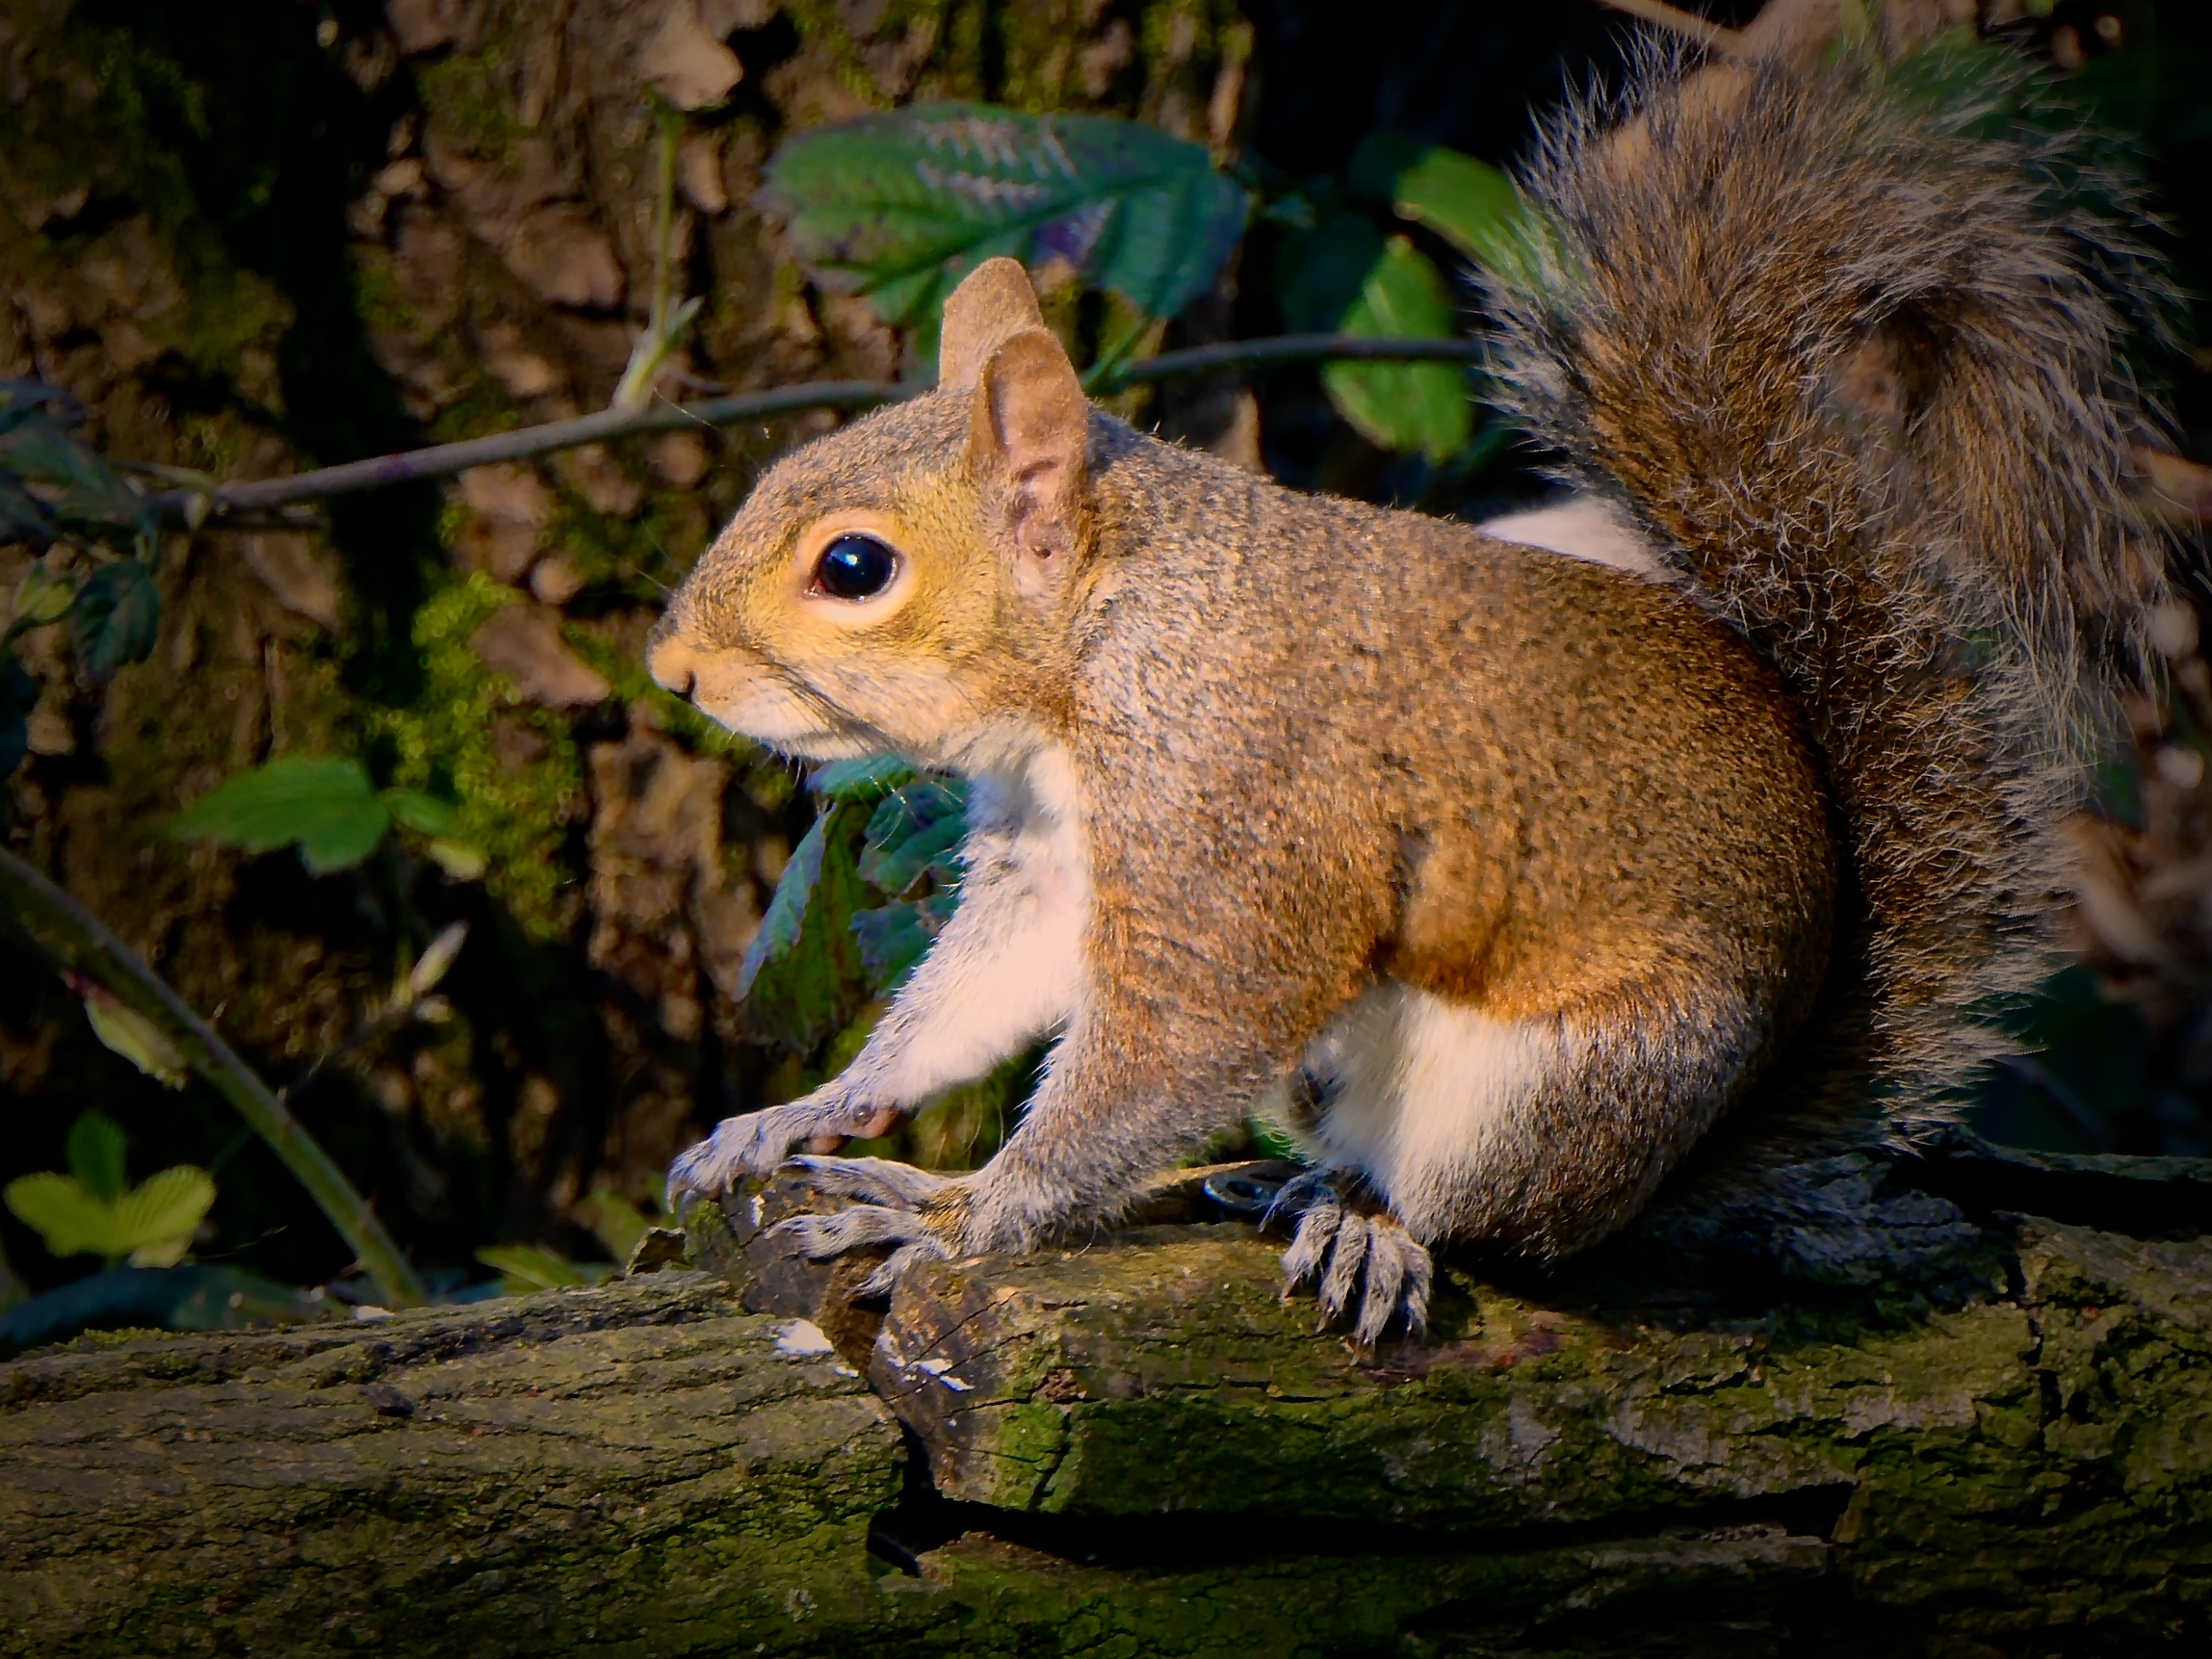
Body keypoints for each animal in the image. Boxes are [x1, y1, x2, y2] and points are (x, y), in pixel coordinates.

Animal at [649, 5, 2173, 1345]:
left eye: (854, 567)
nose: (671, 667)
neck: (1107, 642)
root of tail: (1685, 1161)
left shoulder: (1238, 810)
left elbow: (1180, 1032)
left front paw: (958, 1214)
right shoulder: (1058, 854)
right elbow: (980, 991)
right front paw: (805, 1111)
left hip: (1562, 1086)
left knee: (1479, 1216)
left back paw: (1367, 1225)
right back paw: (1293, 1180)